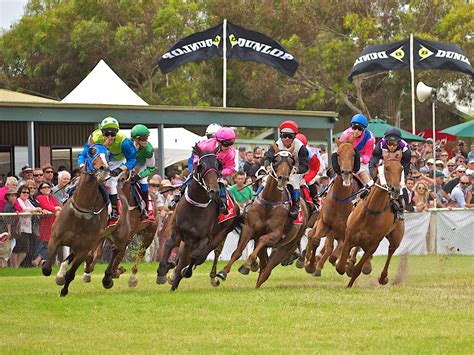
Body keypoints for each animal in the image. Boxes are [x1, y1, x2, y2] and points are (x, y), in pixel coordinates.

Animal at [41, 145, 131, 298]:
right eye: (92, 151)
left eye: (108, 155)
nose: (103, 168)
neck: (81, 211)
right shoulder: (55, 238)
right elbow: (46, 268)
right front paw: (55, 273)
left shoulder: (85, 248)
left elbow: (71, 273)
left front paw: (64, 290)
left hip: (119, 235)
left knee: (116, 249)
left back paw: (108, 278)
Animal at [216, 147, 312, 290]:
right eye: (276, 160)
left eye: (291, 162)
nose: (283, 179)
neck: (269, 202)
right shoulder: (249, 228)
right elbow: (238, 251)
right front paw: (223, 272)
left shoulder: (276, 234)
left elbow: (263, 239)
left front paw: (245, 266)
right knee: (264, 265)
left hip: (289, 244)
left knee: (269, 268)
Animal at [304, 136, 360, 278]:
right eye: (338, 153)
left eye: (353, 154)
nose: (346, 172)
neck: (340, 202)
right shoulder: (325, 223)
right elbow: (316, 240)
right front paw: (311, 265)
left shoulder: (345, 231)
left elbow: (336, 252)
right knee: (313, 235)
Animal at [336, 152, 406, 288]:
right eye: (386, 168)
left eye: (401, 169)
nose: (395, 190)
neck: (372, 211)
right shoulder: (349, 236)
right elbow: (340, 266)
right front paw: (348, 266)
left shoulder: (374, 244)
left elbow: (357, 269)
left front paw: (350, 282)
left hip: (396, 238)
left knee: (391, 251)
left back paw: (382, 277)